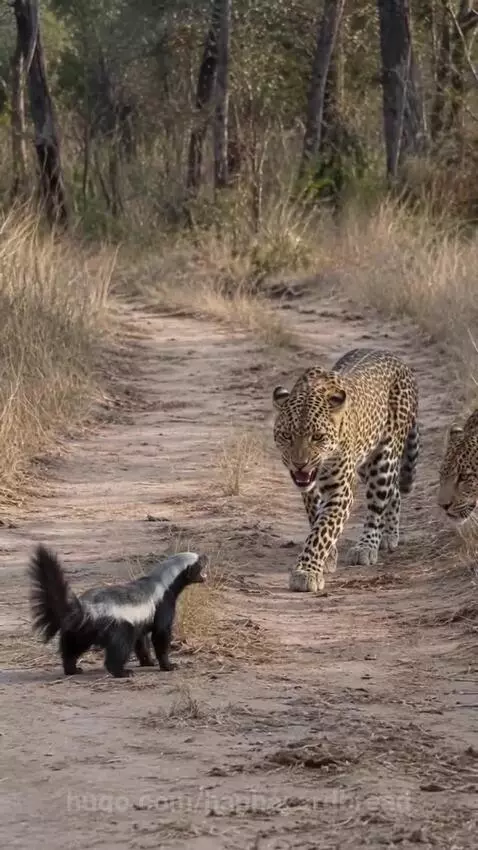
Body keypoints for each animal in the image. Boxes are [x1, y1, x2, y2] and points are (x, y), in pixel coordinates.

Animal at [272, 348, 419, 593]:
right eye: (286, 436)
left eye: (318, 437)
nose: (300, 463)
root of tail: (398, 360)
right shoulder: (310, 491)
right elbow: (317, 519)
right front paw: (328, 557)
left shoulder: (340, 491)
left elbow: (323, 530)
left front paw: (307, 572)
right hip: (365, 463)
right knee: (394, 491)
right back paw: (388, 535)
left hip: (384, 457)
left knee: (378, 503)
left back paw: (368, 546)